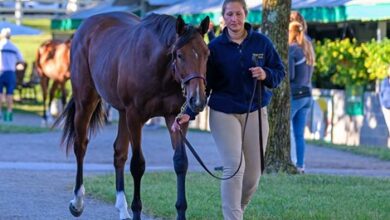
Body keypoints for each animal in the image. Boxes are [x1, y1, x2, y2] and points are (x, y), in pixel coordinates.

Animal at [54, 12, 210, 220]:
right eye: (179, 55)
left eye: (207, 53)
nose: (198, 100)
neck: (157, 66)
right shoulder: (135, 117)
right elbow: (137, 165)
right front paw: (137, 210)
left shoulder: (174, 117)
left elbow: (180, 162)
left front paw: (181, 212)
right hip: (85, 101)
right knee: (81, 145)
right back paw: (78, 202)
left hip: (122, 113)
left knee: (119, 152)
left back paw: (122, 208)